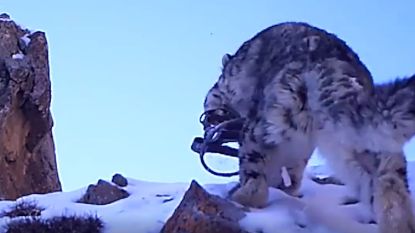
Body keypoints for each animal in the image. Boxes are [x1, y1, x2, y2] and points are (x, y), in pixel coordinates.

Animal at [202, 20, 415, 232]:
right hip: (365, 147)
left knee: (255, 177)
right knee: (389, 187)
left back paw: (239, 197)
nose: (207, 123)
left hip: (263, 128)